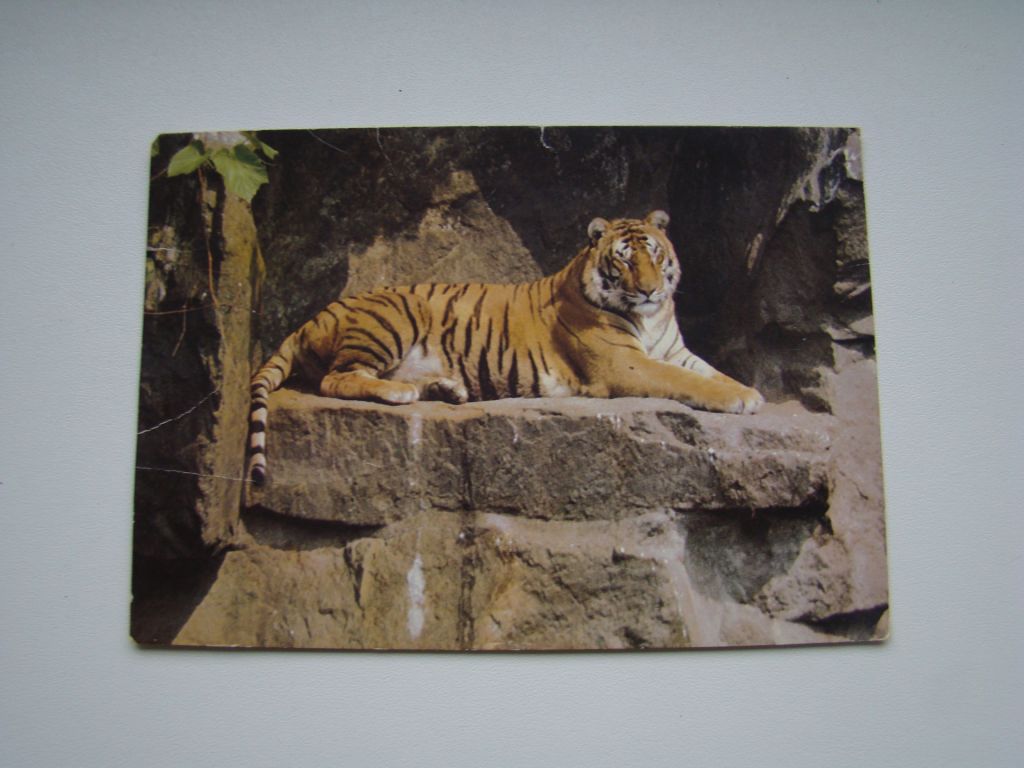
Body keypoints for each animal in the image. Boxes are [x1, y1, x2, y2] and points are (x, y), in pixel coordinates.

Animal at [247, 210, 763, 484]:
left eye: (655, 254)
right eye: (623, 261)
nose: (651, 290)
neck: (651, 317)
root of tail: (314, 315)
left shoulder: (675, 350)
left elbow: (709, 370)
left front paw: (749, 391)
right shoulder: (625, 364)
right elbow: (685, 381)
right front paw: (737, 399)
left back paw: (449, 390)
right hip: (391, 319)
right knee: (337, 378)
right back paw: (401, 394)